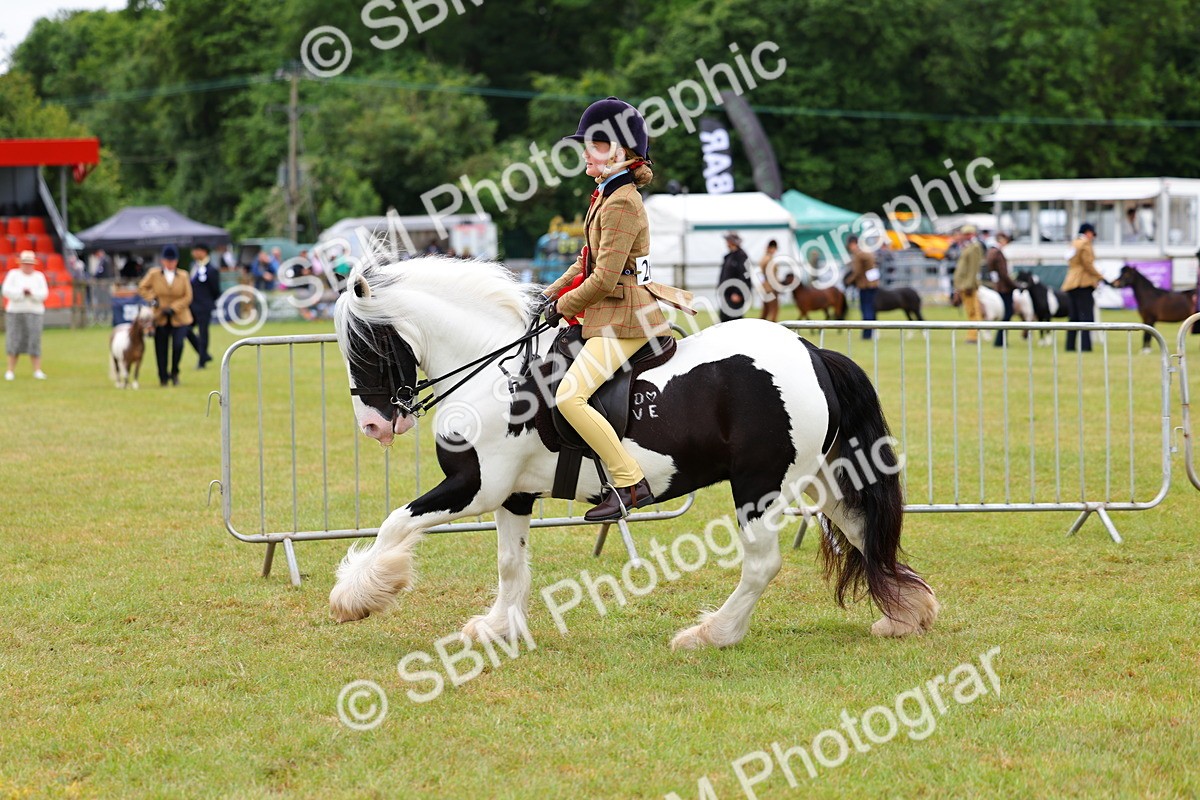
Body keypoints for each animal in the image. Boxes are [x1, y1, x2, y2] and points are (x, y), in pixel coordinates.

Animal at [327, 256, 939, 650]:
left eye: (365, 346)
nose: (374, 425)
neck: (496, 372)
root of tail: (811, 350)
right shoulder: (513, 495)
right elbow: (509, 563)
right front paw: (497, 629)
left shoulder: (476, 487)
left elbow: (396, 523)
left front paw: (357, 596)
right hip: (818, 479)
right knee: (863, 529)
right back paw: (908, 614)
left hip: (760, 486)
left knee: (762, 563)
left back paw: (710, 634)